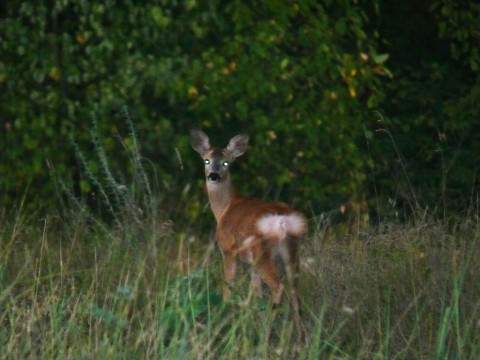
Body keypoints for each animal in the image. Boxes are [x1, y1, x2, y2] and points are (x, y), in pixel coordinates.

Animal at [189, 129, 306, 338]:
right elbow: (257, 294)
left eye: (226, 162)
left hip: (263, 254)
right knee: (294, 291)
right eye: (206, 160)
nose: (214, 176)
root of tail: (282, 220)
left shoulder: (228, 250)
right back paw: (301, 339)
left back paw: (267, 335)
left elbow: (228, 287)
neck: (224, 209)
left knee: (278, 286)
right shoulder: (250, 265)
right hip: (291, 253)